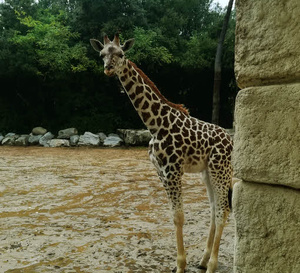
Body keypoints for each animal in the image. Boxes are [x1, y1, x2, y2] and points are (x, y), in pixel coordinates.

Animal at [90, 34, 233, 272]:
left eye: (121, 53)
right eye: (102, 54)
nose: (108, 68)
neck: (154, 124)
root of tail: (231, 140)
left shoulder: (172, 170)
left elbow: (179, 217)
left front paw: (181, 265)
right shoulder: (160, 172)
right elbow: (174, 216)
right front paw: (182, 263)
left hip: (220, 170)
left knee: (223, 211)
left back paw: (212, 265)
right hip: (207, 172)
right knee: (214, 210)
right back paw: (203, 260)